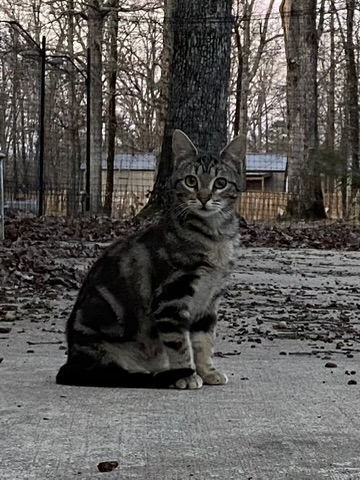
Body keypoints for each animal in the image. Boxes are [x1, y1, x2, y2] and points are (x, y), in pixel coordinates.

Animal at [56, 129, 240, 388]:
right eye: (191, 180)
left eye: (220, 183)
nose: (204, 198)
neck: (214, 237)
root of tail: (71, 362)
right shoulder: (171, 301)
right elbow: (180, 346)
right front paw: (186, 374)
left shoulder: (209, 303)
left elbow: (204, 343)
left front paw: (207, 371)